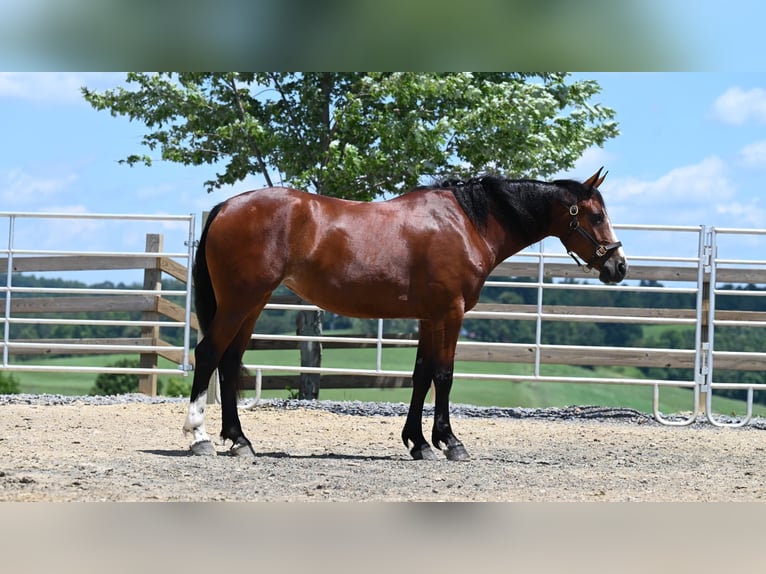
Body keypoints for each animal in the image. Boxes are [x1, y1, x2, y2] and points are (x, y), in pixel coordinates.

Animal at [183, 168, 628, 464]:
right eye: (595, 216)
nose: (619, 266)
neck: (466, 223)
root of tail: (226, 207)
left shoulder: (429, 317)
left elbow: (420, 376)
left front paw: (418, 443)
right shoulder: (450, 313)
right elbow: (444, 375)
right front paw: (450, 443)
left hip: (252, 304)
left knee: (230, 361)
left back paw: (240, 441)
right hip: (240, 301)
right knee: (209, 355)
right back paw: (199, 437)